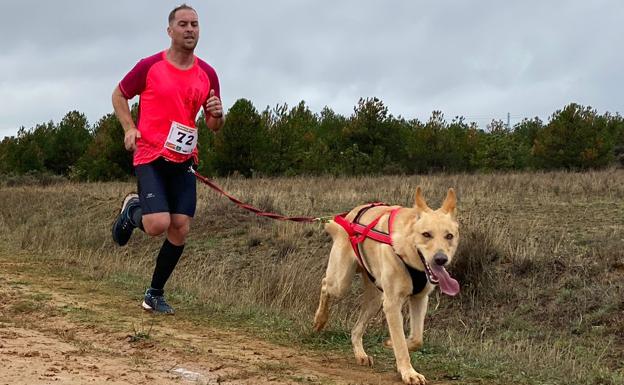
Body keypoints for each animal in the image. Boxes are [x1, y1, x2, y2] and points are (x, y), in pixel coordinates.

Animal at [314, 185, 460, 380]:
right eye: (426, 234)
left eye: (449, 236)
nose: (441, 259)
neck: (408, 253)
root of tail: (349, 216)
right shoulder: (392, 304)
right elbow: (401, 342)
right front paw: (408, 372)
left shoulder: (420, 299)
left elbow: (416, 339)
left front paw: (391, 343)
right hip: (341, 283)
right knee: (325, 285)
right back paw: (320, 319)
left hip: (375, 300)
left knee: (356, 330)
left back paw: (360, 354)